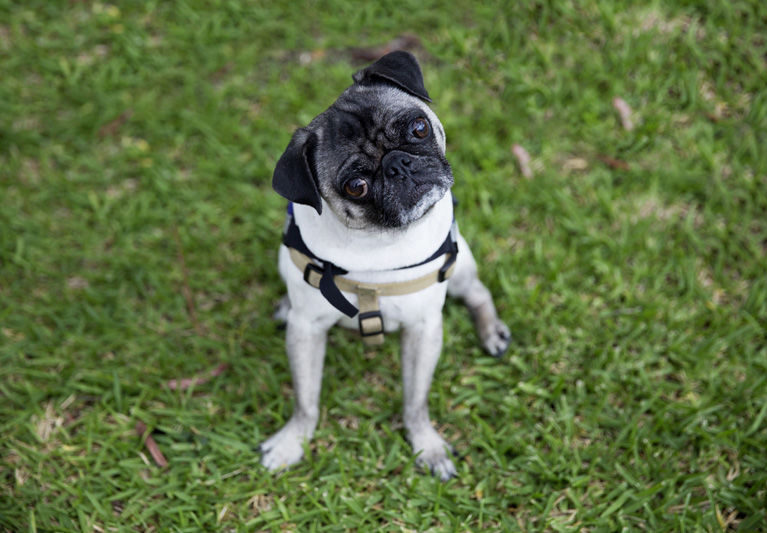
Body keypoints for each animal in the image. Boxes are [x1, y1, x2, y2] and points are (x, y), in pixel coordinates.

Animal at [262, 50, 510, 480]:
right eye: (356, 186)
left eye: (419, 127)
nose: (398, 165)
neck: (378, 244)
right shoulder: (306, 330)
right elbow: (306, 400)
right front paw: (292, 441)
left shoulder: (424, 329)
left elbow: (415, 400)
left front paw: (426, 445)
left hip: (460, 267)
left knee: (478, 292)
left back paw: (491, 331)